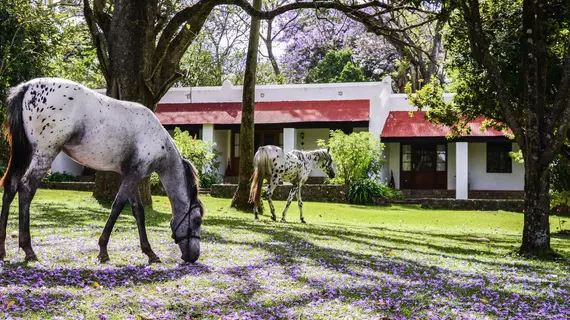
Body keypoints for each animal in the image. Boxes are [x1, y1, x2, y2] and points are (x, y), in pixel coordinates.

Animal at [0, 77, 204, 262]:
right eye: (197, 220)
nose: (194, 256)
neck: (158, 139)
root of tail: (27, 87)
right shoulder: (135, 174)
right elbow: (118, 206)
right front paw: (103, 250)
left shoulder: (130, 175)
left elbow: (138, 211)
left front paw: (149, 252)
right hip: (44, 153)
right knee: (26, 188)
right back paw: (28, 250)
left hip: (24, 153)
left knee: (10, 186)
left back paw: (3, 250)